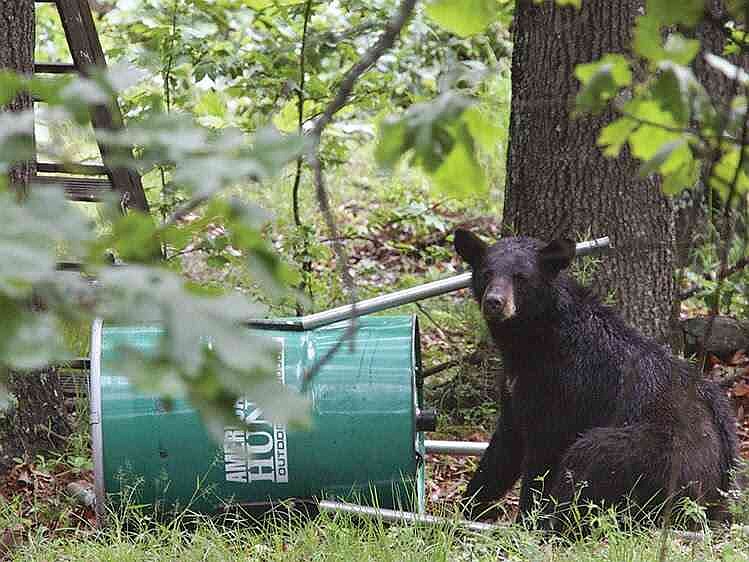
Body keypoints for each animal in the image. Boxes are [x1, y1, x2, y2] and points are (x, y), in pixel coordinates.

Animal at [453, 229, 738, 528]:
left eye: (521, 277)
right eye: (486, 273)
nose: (494, 302)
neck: (535, 340)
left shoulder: (561, 387)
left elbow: (543, 454)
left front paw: (527, 519)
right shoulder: (516, 387)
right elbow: (504, 448)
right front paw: (468, 506)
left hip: (647, 457)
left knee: (586, 460)